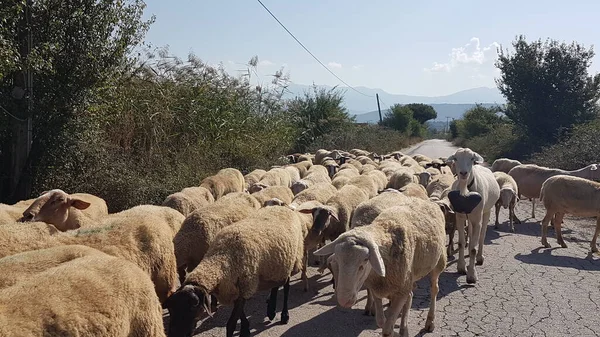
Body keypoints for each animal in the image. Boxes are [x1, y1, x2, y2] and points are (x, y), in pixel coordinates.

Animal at [165, 205, 308, 336]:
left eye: (194, 305)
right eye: (171, 309)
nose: (175, 334)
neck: (221, 258)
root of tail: (283, 207)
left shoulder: (245, 285)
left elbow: (231, 324)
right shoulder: (235, 288)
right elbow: (241, 315)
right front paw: (246, 329)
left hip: (292, 258)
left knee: (286, 287)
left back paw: (284, 315)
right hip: (276, 265)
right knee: (276, 285)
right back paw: (271, 311)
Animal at [314, 197, 446, 336]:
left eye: (365, 261)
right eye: (337, 261)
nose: (344, 300)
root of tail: (428, 201)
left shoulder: (400, 291)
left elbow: (387, 329)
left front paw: (394, 331)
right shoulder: (377, 287)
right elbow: (381, 321)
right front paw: (395, 329)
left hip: (438, 262)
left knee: (434, 289)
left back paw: (430, 322)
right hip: (409, 277)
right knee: (410, 295)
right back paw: (404, 329)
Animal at [448, 148, 500, 284]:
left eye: (472, 158)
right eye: (455, 158)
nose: (463, 173)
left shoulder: (477, 218)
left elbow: (473, 248)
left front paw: (472, 275)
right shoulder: (460, 217)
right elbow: (461, 243)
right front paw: (461, 267)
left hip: (486, 212)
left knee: (481, 236)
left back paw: (480, 257)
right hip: (470, 217)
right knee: (472, 235)